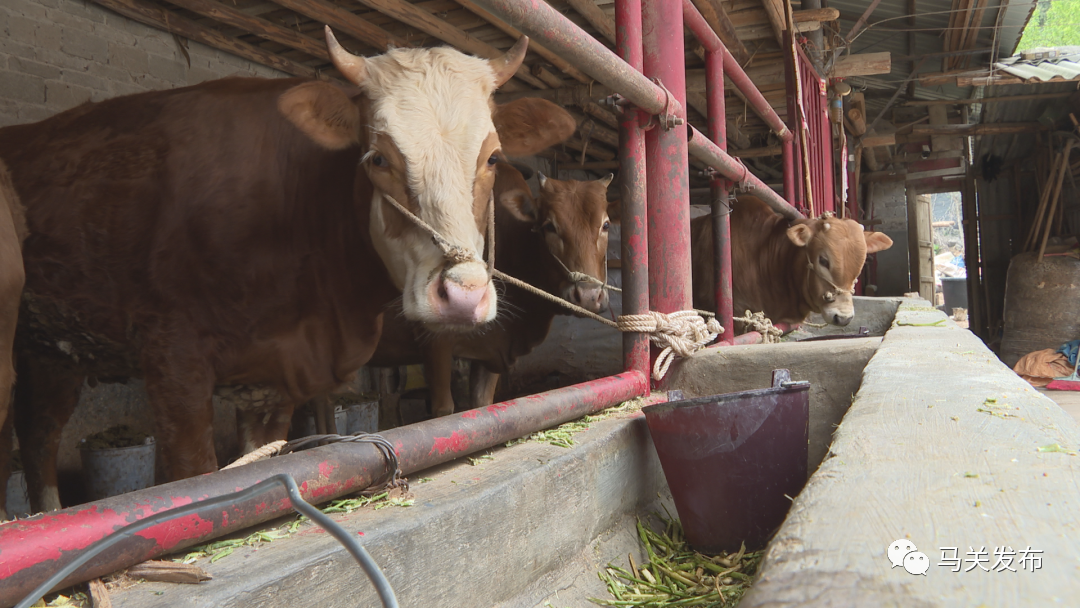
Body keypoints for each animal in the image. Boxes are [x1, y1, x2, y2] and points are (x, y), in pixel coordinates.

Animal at [0, 29, 578, 514]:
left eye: (492, 158)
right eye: (378, 158)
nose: (462, 295)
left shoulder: (272, 376)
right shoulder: (173, 361)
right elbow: (194, 475)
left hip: (52, 352)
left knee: (38, 434)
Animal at [371, 166, 613, 419]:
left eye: (605, 225)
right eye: (549, 226)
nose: (588, 296)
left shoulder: (492, 350)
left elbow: (483, 404)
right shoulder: (435, 343)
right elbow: (444, 411)